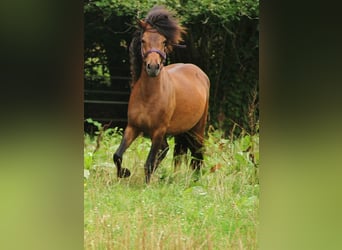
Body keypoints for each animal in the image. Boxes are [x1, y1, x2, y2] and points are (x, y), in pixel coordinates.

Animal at [113, 5, 210, 184]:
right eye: (143, 40)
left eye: (164, 41)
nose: (153, 67)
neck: (148, 97)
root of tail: (198, 71)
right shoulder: (133, 127)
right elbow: (117, 155)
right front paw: (124, 173)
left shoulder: (158, 131)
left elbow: (149, 162)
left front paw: (146, 185)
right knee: (171, 151)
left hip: (197, 128)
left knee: (197, 153)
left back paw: (195, 179)